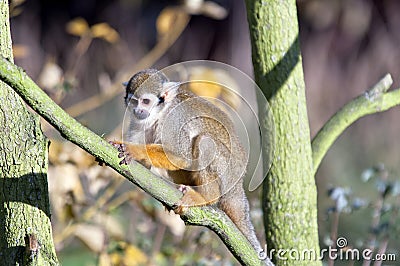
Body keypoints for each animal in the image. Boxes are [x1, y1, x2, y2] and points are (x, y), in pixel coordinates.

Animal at [109, 68, 266, 258]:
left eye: (146, 101)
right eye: (134, 101)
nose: (139, 110)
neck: (159, 113)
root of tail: (237, 186)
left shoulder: (173, 121)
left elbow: (181, 156)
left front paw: (133, 150)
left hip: (226, 173)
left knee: (205, 141)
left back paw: (206, 196)